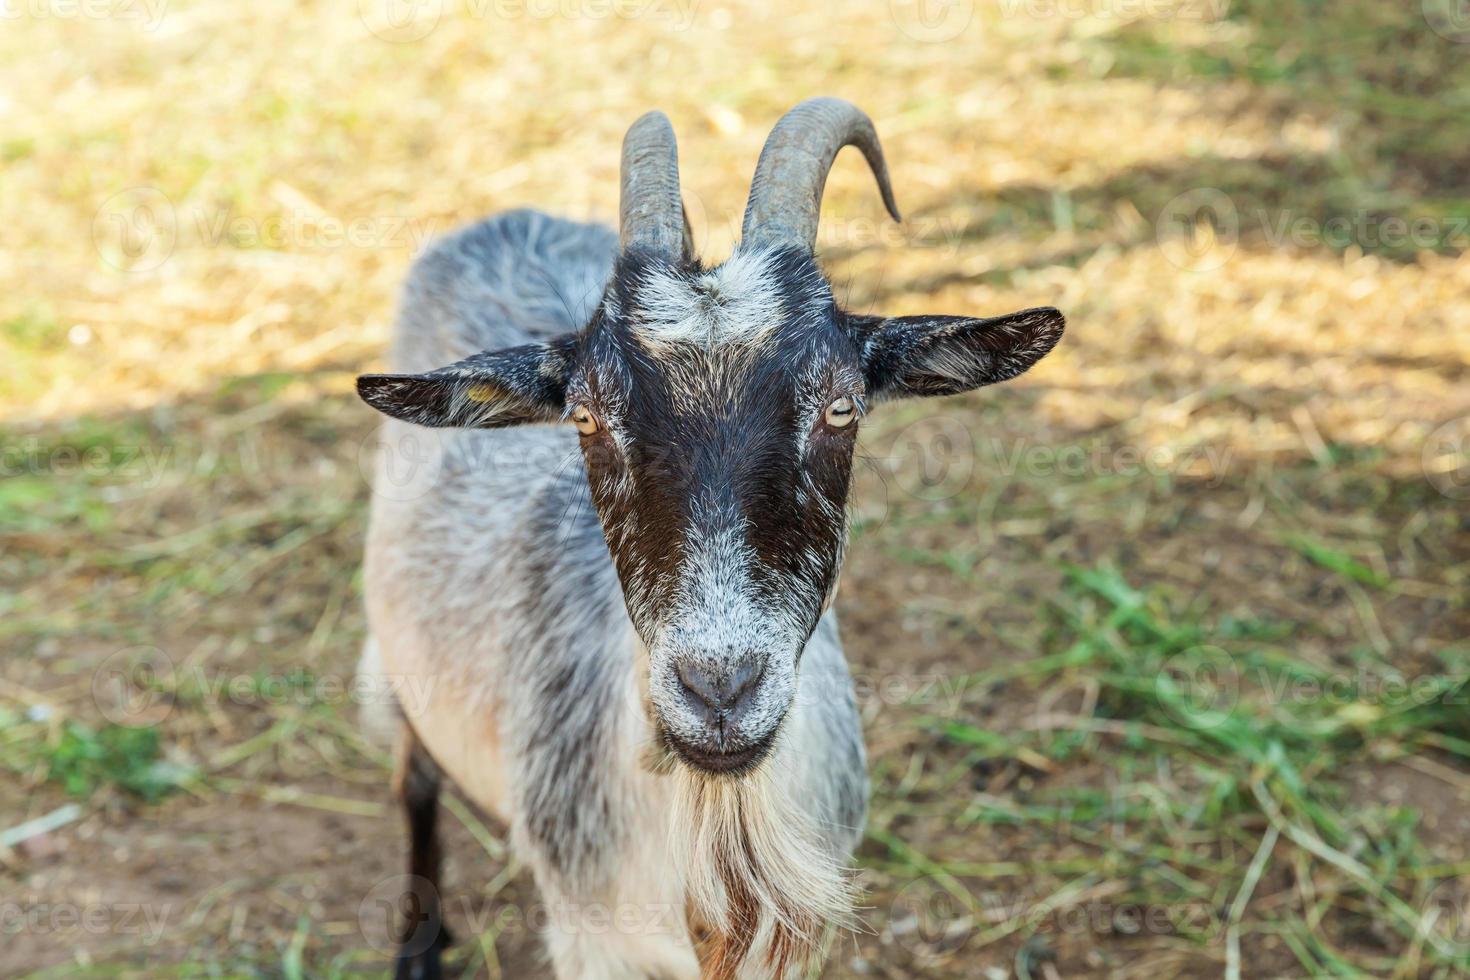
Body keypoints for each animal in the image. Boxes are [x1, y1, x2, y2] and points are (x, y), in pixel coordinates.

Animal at [352, 97, 1070, 980]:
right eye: (585, 418)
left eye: (843, 407)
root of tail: (507, 219)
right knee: (415, 781)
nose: (719, 692)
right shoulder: (593, 939)